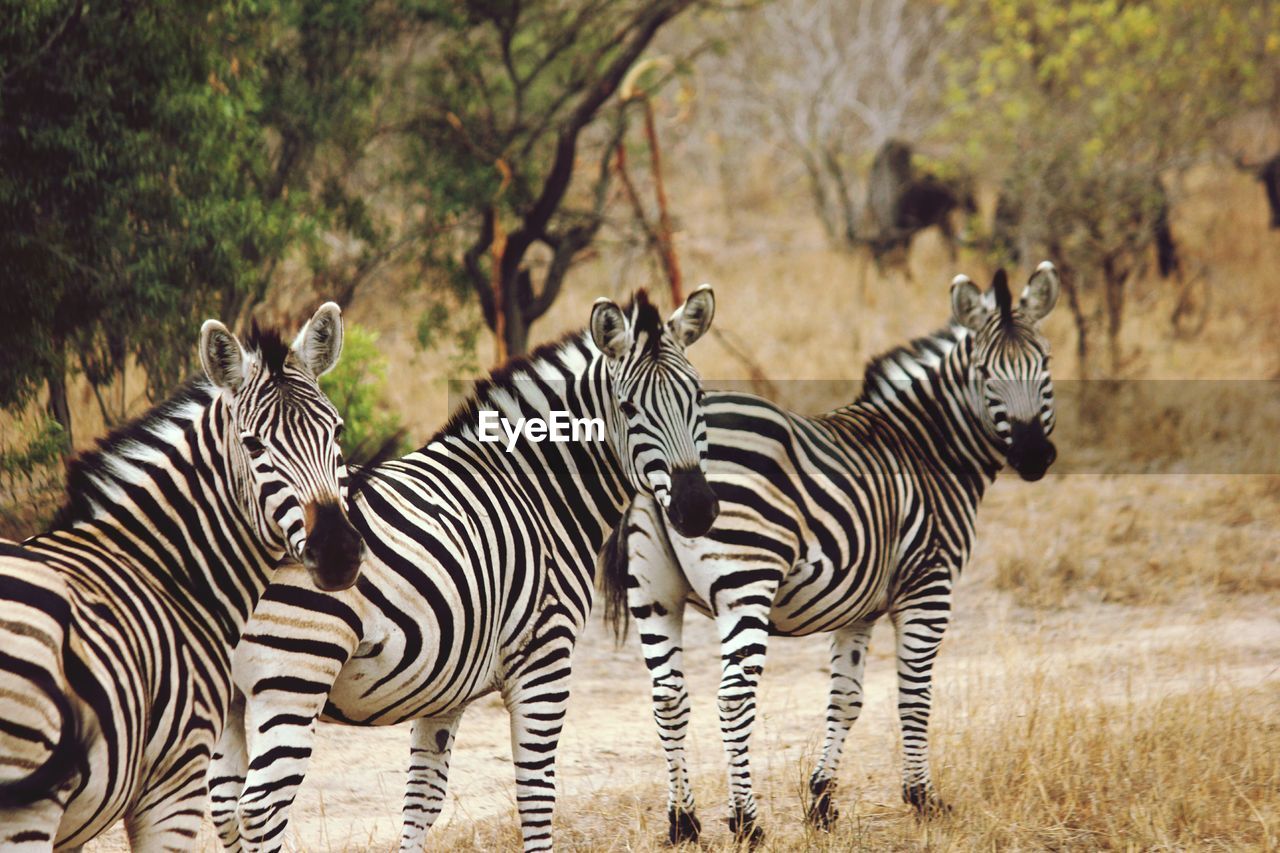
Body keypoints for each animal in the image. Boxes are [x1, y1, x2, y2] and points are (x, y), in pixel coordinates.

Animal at [0, 303, 366, 845]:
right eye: (253, 445)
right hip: (29, 806)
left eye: (337, 432)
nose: (339, 553)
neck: (166, 572)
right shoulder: (174, 782)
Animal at [207, 286, 721, 850]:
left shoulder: (442, 686)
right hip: (294, 675)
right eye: (628, 408)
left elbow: (422, 801)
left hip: (227, 694)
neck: (532, 490)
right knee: (259, 809)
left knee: (225, 808)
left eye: (697, 396)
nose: (697, 509)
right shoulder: (543, 657)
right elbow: (536, 795)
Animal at [599, 262, 1059, 840]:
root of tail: (655, 474)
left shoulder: (857, 606)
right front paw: (922, 798)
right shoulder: (928, 585)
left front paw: (821, 801)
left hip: (654, 593)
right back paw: (746, 823)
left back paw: (683, 822)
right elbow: (914, 693)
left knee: (668, 698)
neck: (926, 448)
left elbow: (846, 698)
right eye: (985, 374)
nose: (1035, 456)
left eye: (1045, 365)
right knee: (734, 698)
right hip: (747, 581)